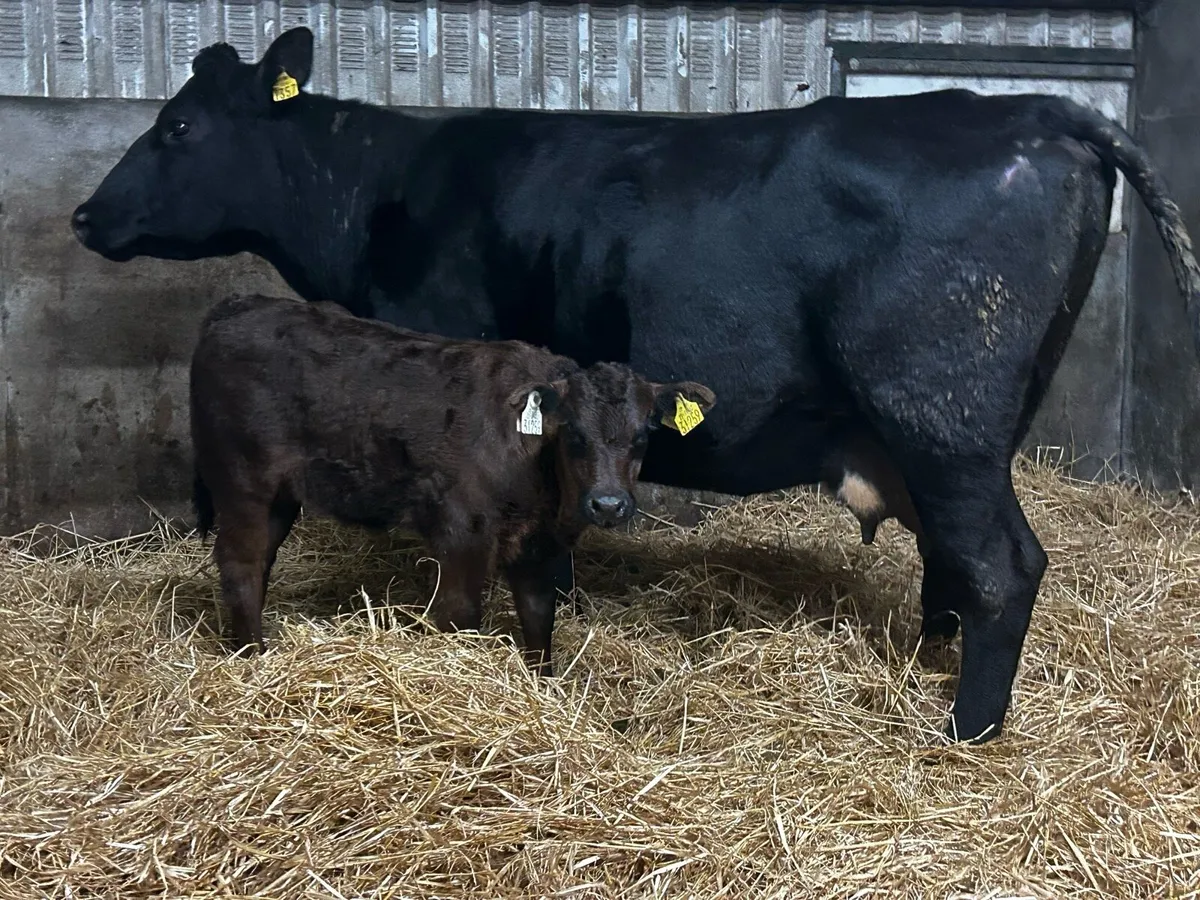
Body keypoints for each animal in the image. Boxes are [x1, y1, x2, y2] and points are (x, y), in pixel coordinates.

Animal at [190, 292, 715, 672]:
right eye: (574, 434)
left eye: (643, 436)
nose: (608, 504)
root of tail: (236, 307)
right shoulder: (462, 532)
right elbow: (459, 615)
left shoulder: (539, 545)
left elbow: (539, 619)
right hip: (244, 483)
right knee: (241, 562)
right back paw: (253, 658)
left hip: (280, 496)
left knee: (260, 563)